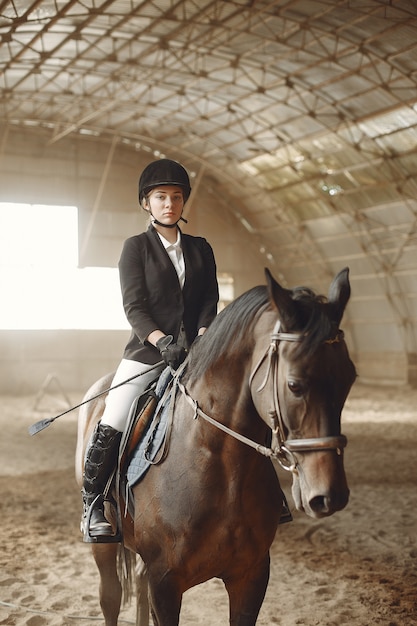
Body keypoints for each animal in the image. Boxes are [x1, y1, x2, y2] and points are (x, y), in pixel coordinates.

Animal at [75, 266, 354, 624]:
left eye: (350, 378)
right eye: (294, 385)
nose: (330, 496)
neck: (223, 468)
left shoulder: (251, 576)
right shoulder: (165, 583)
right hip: (105, 543)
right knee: (110, 595)